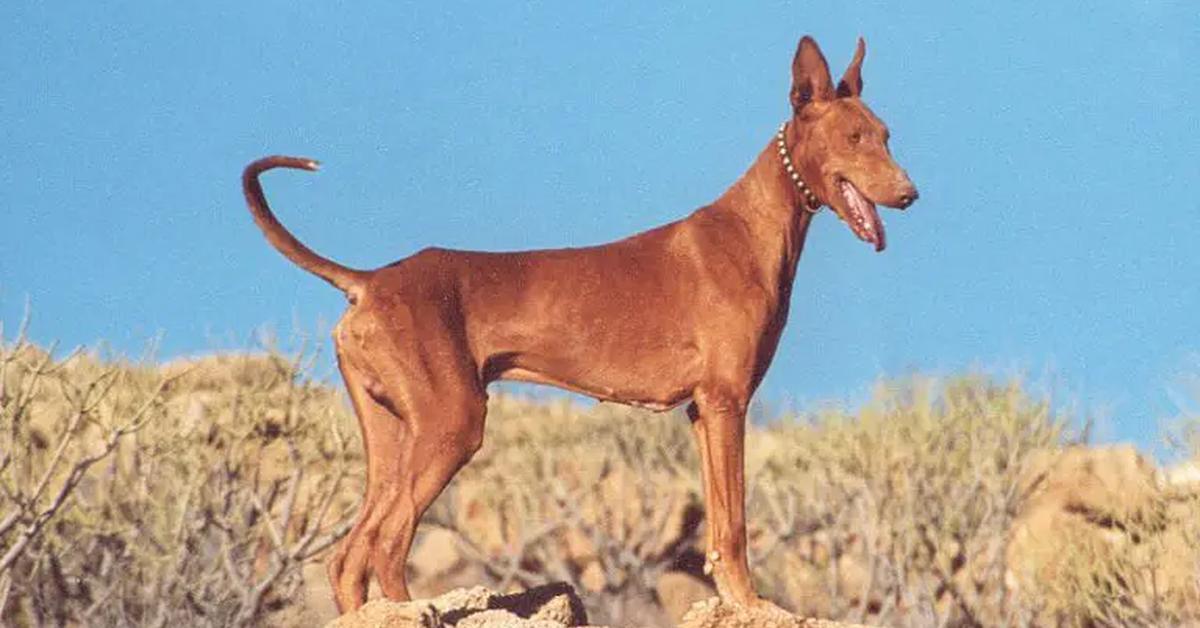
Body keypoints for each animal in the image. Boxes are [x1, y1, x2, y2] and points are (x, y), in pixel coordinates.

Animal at [243, 34, 916, 614]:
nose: (910, 194)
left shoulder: (703, 411)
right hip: (451, 424)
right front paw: (751, 604)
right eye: (854, 137)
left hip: (390, 434)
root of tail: (371, 280)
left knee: (347, 557)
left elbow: (719, 530)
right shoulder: (727, 402)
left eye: (885, 135)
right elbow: (736, 522)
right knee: (386, 541)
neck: (752, 229)